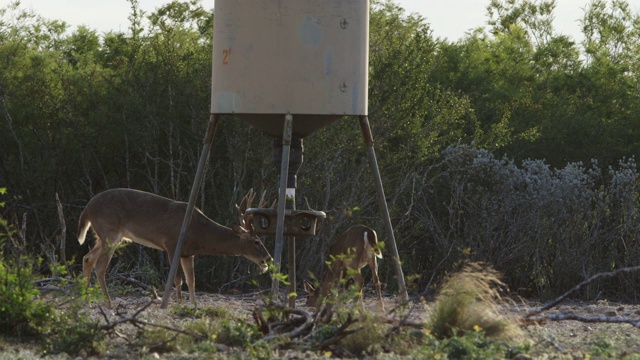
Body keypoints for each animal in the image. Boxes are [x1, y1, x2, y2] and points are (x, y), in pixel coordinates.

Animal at [79, 187, 272, 308]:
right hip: (110, 231)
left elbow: (191, 279)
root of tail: (87, 208)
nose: (268, 258)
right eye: (256, 242)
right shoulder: (171, 244)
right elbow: (177, 278)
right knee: (100, 266)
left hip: (103, 235)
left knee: (87, 258)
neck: (200, 232)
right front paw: (178, 303)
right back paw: (108, 303)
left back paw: (86, 301)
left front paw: (194, 304)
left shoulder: (188, 253)